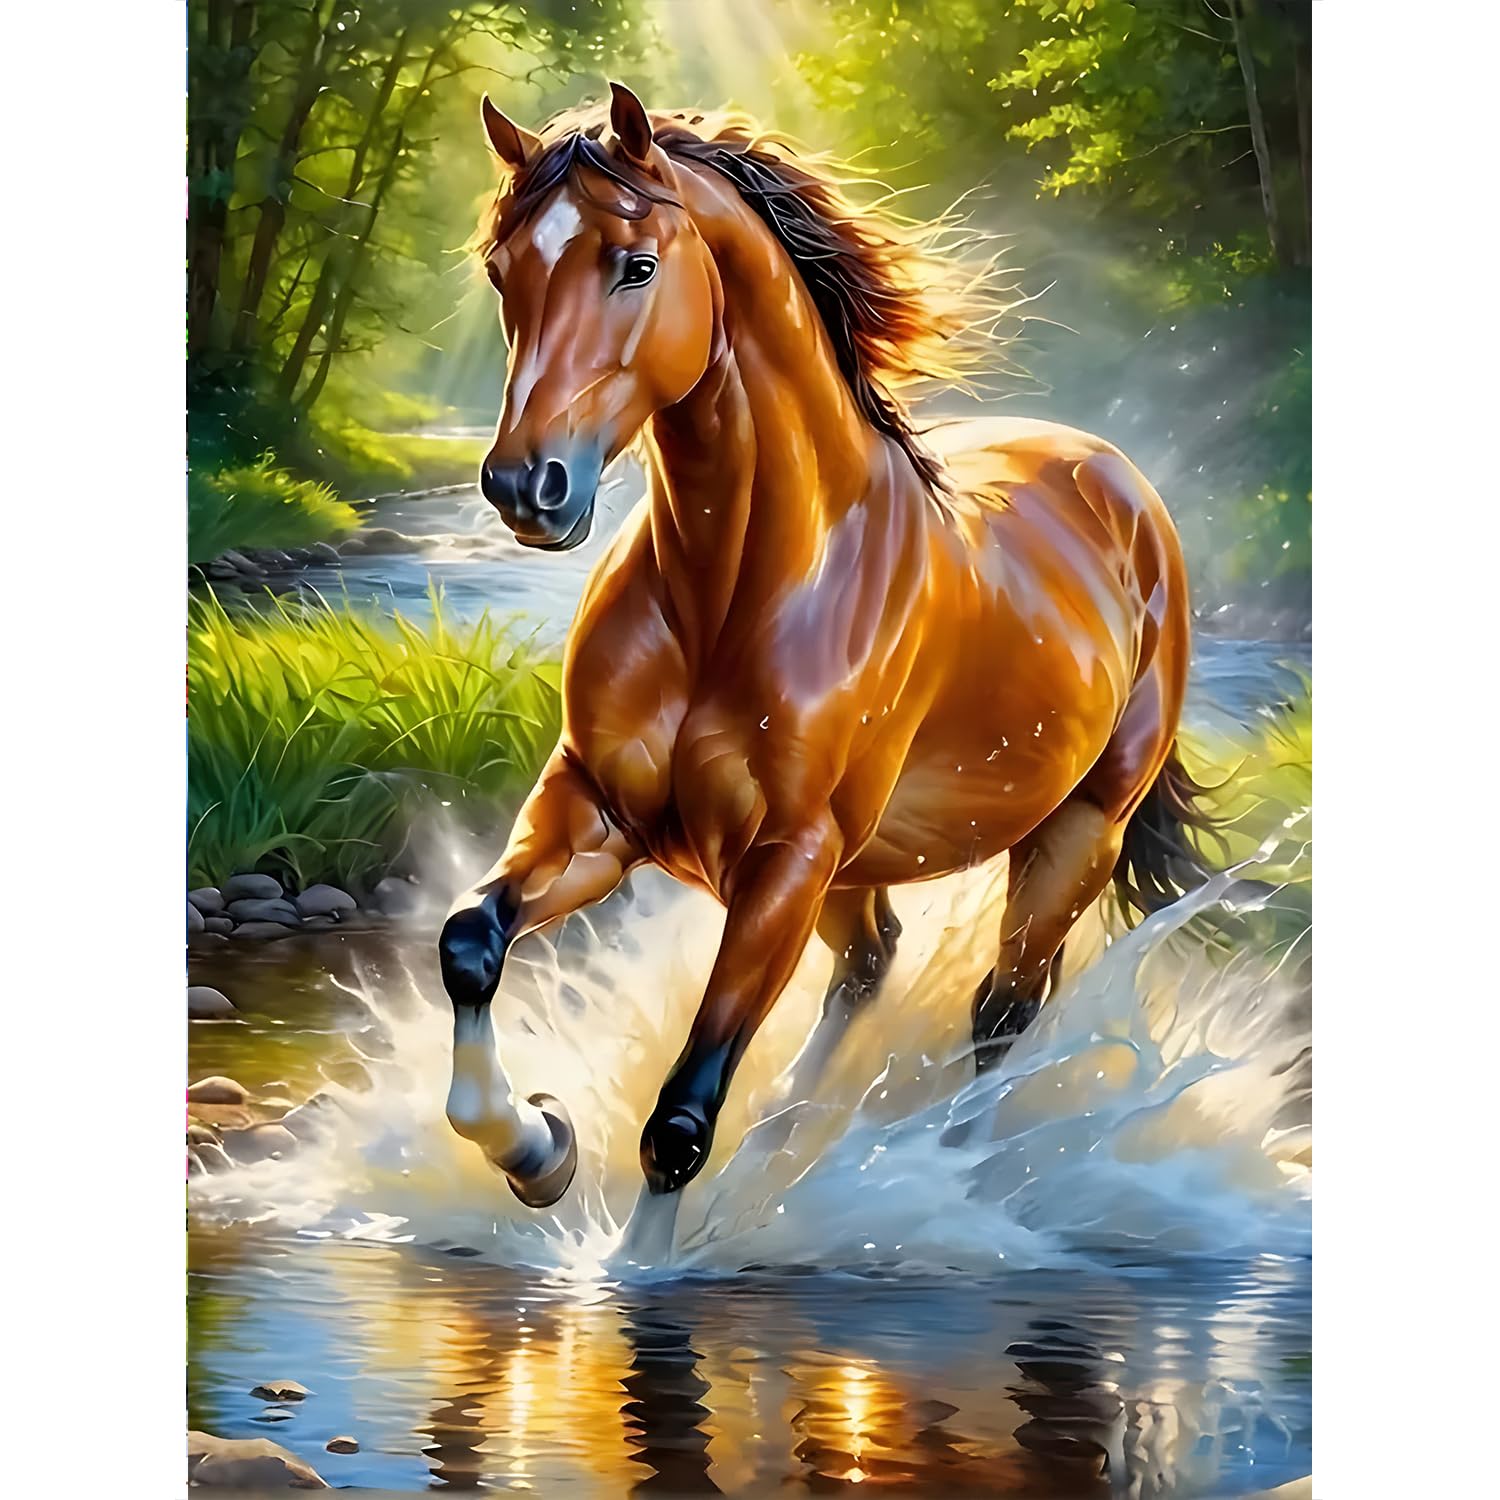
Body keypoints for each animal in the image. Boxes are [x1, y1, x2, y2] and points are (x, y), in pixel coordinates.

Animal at [438, 83, 1214, 1209]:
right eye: (506, 273)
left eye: (636, 265)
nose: (525, 487)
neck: (741, 592)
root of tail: (1121, 486)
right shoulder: (598, 809)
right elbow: (470, 945)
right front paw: (539, 1148)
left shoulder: (787, 863)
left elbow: (681, 1120)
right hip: (863, 869)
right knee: (874, 967)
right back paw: (788, 1142)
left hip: (1075, 832)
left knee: (1001, 1009)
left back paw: (957, 1175)